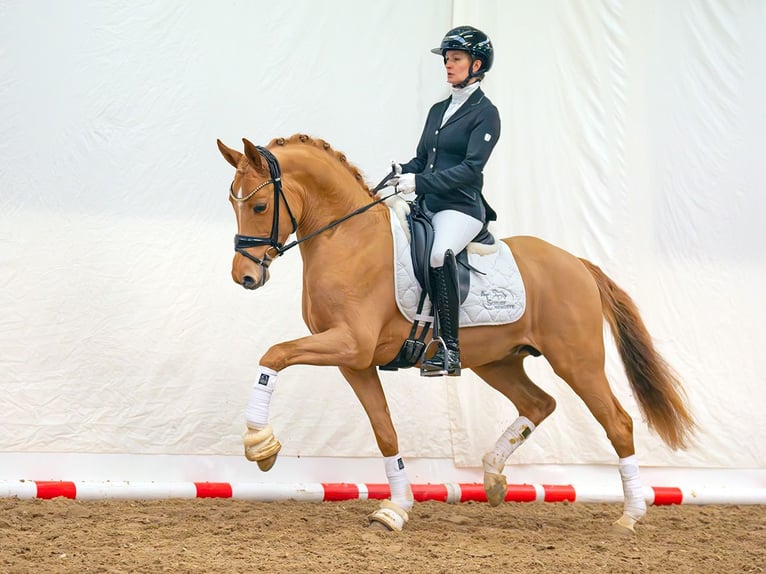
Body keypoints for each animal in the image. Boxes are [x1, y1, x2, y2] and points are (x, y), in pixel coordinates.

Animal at [216, 134, 695, 534]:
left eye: (259, 207)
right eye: (232, 203)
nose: (244, 277)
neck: (348, 238)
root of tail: (576, 262)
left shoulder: (349, 343)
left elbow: (273, 354)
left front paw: (260, 446)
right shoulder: (354, 362)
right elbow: (384, 430)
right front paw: (396, 509)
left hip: (577, 361)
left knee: (617, 422)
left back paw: (629, 516)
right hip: (497, 361)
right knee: (538, 403)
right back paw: (494, 478)